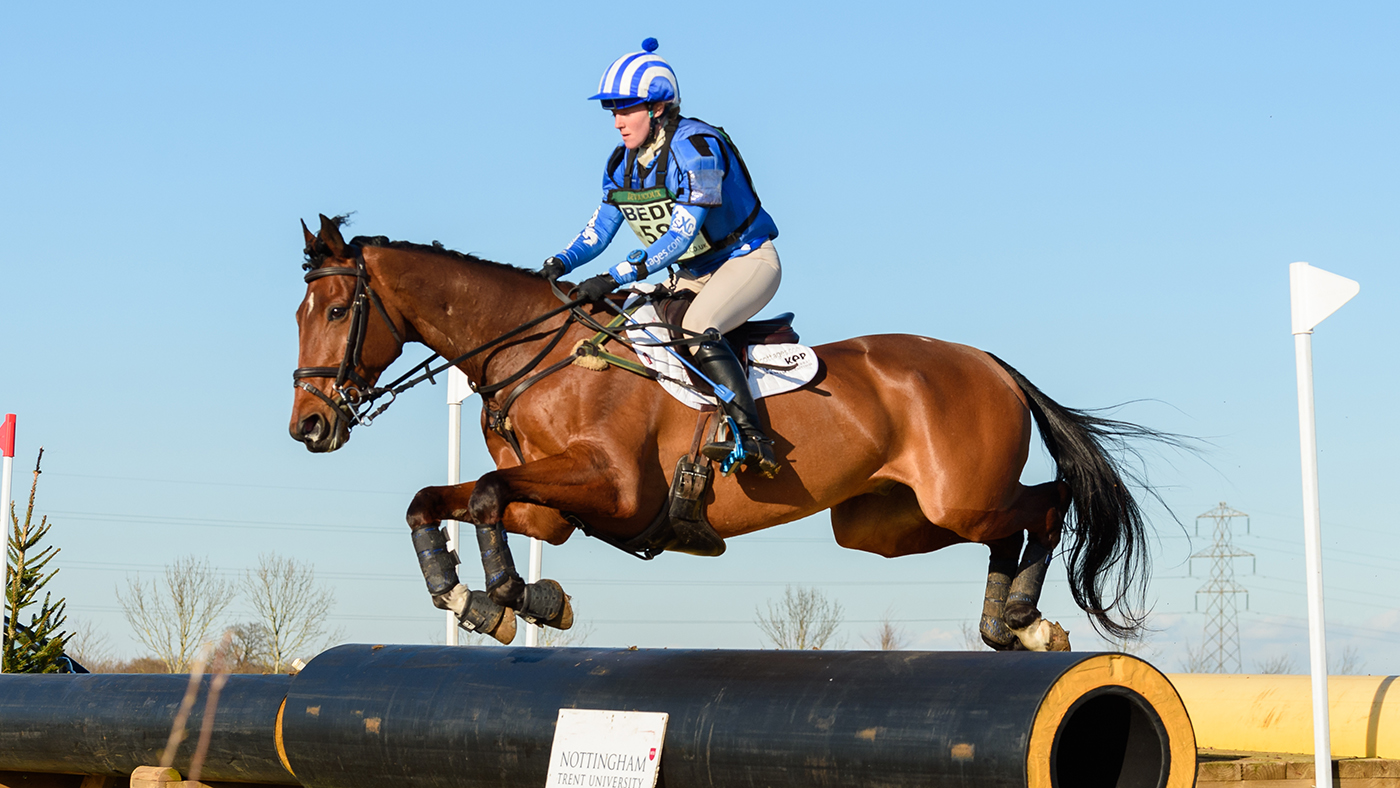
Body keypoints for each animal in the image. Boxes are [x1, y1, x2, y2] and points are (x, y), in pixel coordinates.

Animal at [290, 214, 1165, 650]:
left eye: (333, 311)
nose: (309, 425)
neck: (535, 355)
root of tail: (990, 363)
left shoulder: (612, 489)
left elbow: (483, 496)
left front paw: (511, 596)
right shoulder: (553, 510)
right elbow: (444, 499)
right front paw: (471, 595)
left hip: (960, 496)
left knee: (1046, 504)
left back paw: (1024, 618)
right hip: (888, 524)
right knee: (1011, 525)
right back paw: (1003, 621)